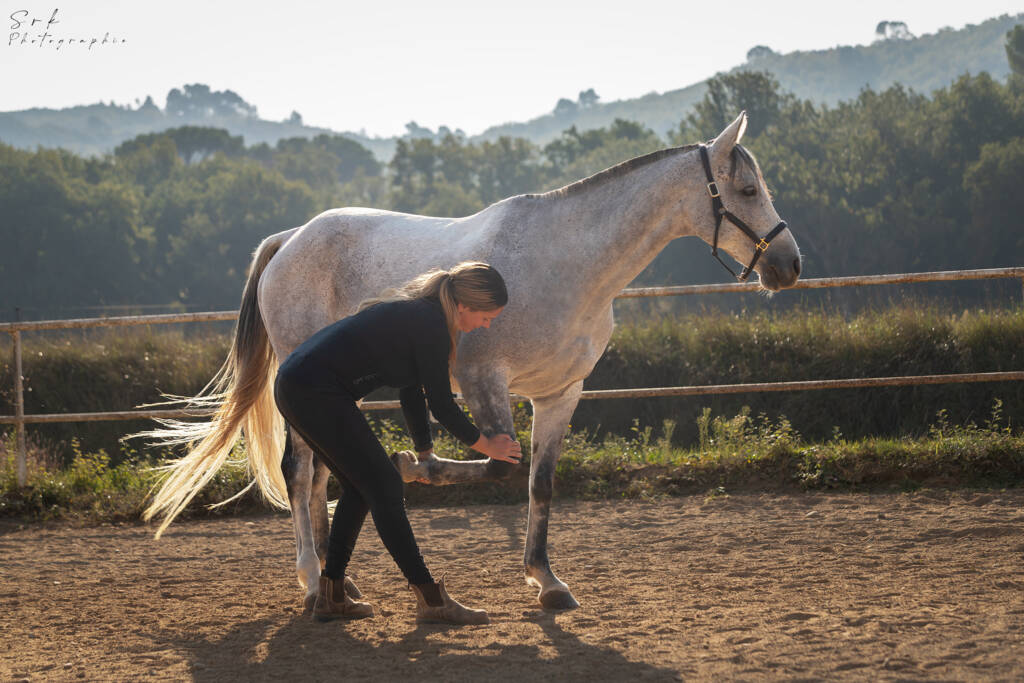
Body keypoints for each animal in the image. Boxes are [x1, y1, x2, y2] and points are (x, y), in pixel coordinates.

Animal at [142, 112, 801, 611]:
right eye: (746, 191)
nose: (788, 265)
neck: (568, 265)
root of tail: (289, 240)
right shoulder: (484, 381)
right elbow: (494, 469)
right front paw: (414, 465)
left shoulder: (560, 393)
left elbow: (539, 483)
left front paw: (547, 581)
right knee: (299, 474)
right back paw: (311, 581)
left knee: (323, 478)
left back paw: (341, 582)